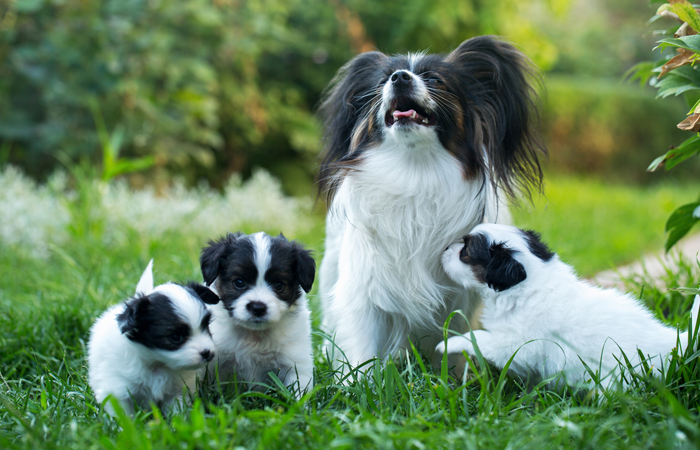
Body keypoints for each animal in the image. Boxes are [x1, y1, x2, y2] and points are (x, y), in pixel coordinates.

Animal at [87, 260, 219, 414]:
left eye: (206, 326)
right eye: (176, 337)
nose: (207, 353)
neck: (158, 363)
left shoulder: (177, 390)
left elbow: (177, 410)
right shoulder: (118, 391)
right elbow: (124, 415)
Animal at [200, 232, 314, 398]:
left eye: (279, 285)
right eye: (239, 282)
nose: (258, 307)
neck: (254, 335)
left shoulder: (295, 362)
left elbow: (299, 392)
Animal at [318, 36, 548, 370]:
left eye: (434, 79)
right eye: (382, 81)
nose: (400, 77)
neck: (415, 172)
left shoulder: (461, 298)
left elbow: (454, 341)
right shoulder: (363, 289)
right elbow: (362, 350)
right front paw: (357, 379)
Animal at [434, 225, 696, 390]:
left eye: (465, 252)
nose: (444, 249)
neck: (530, 283)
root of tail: (675, 343)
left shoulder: (517, 343)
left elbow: (480, 337)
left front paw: (449, 342)